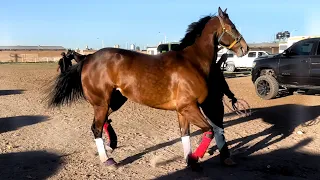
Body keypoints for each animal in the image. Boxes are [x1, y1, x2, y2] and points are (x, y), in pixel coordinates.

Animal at [46, 7, 249, 170]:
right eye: (232, 26)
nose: (245, 48)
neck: (192, 61)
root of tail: (87, 58)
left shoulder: (183, 110)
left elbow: (185, 134)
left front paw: (190, 161)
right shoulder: (189, 107)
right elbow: (210, 131)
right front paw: (195, 158)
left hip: (115, 100)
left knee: (103, 122)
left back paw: (112, 143)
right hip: (102, 103)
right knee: (96, 128)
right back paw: (108, 160)